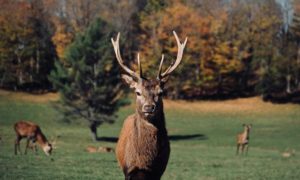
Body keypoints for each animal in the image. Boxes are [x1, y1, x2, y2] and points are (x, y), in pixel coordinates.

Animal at [112, 31, 188, 179]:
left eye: (161, 92)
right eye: (137, 92)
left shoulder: (158, 171)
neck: (143, 160)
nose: (149, 107)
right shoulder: (127, 169)